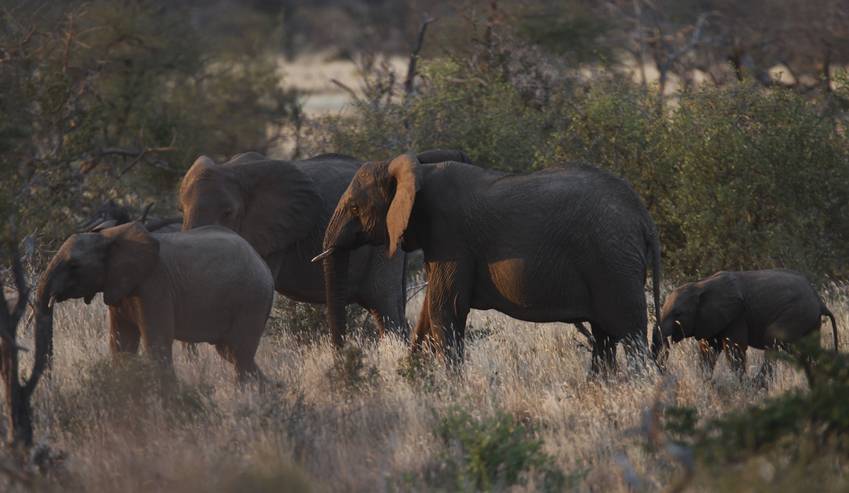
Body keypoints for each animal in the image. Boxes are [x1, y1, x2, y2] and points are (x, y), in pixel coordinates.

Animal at [35, 222, 274, 382]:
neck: (109, 236)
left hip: (251, 300)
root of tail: (264, 266)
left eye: (74, 266)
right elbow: (121, 344)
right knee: (232, 353)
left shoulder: (154, 287)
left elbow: (155, 343)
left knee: (239, 355)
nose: (50, 381)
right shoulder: (119, 288)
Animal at [316, 153, 662, 373]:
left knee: (629, 333)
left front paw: (449, 390)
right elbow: (430, 311)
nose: (340, 360)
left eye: (355, 207)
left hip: (613, 260)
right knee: (605, 336)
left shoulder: (451, 237)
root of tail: (644, 217)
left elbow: (445, 309)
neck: (419, 170)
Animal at [654, 269, 838, 381]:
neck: (701, 285)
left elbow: (734, 348)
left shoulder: (737, 315)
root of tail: (819, 300)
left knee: (773, 339)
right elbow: (708, 350)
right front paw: (705, 382)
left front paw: (739, 384)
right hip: (809, 320)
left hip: (797, 313)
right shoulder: (710, 319)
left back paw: (758, 384)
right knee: (807, 350)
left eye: (678, 314)